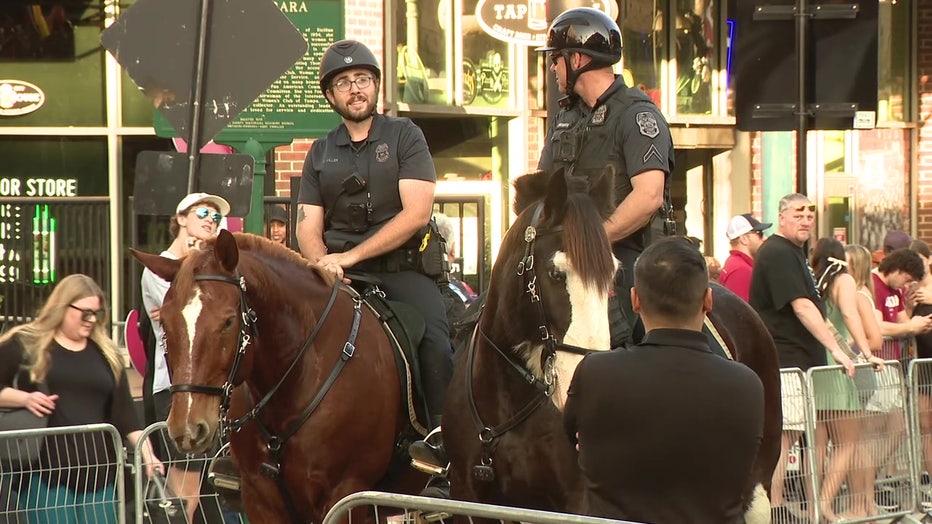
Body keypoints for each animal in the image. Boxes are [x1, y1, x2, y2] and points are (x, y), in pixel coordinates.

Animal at [442, 170, 780, 520]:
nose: (580, 379)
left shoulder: (579, 501)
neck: (509, 396)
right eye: (555, 273)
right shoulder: (467, 496)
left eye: (613, 276)